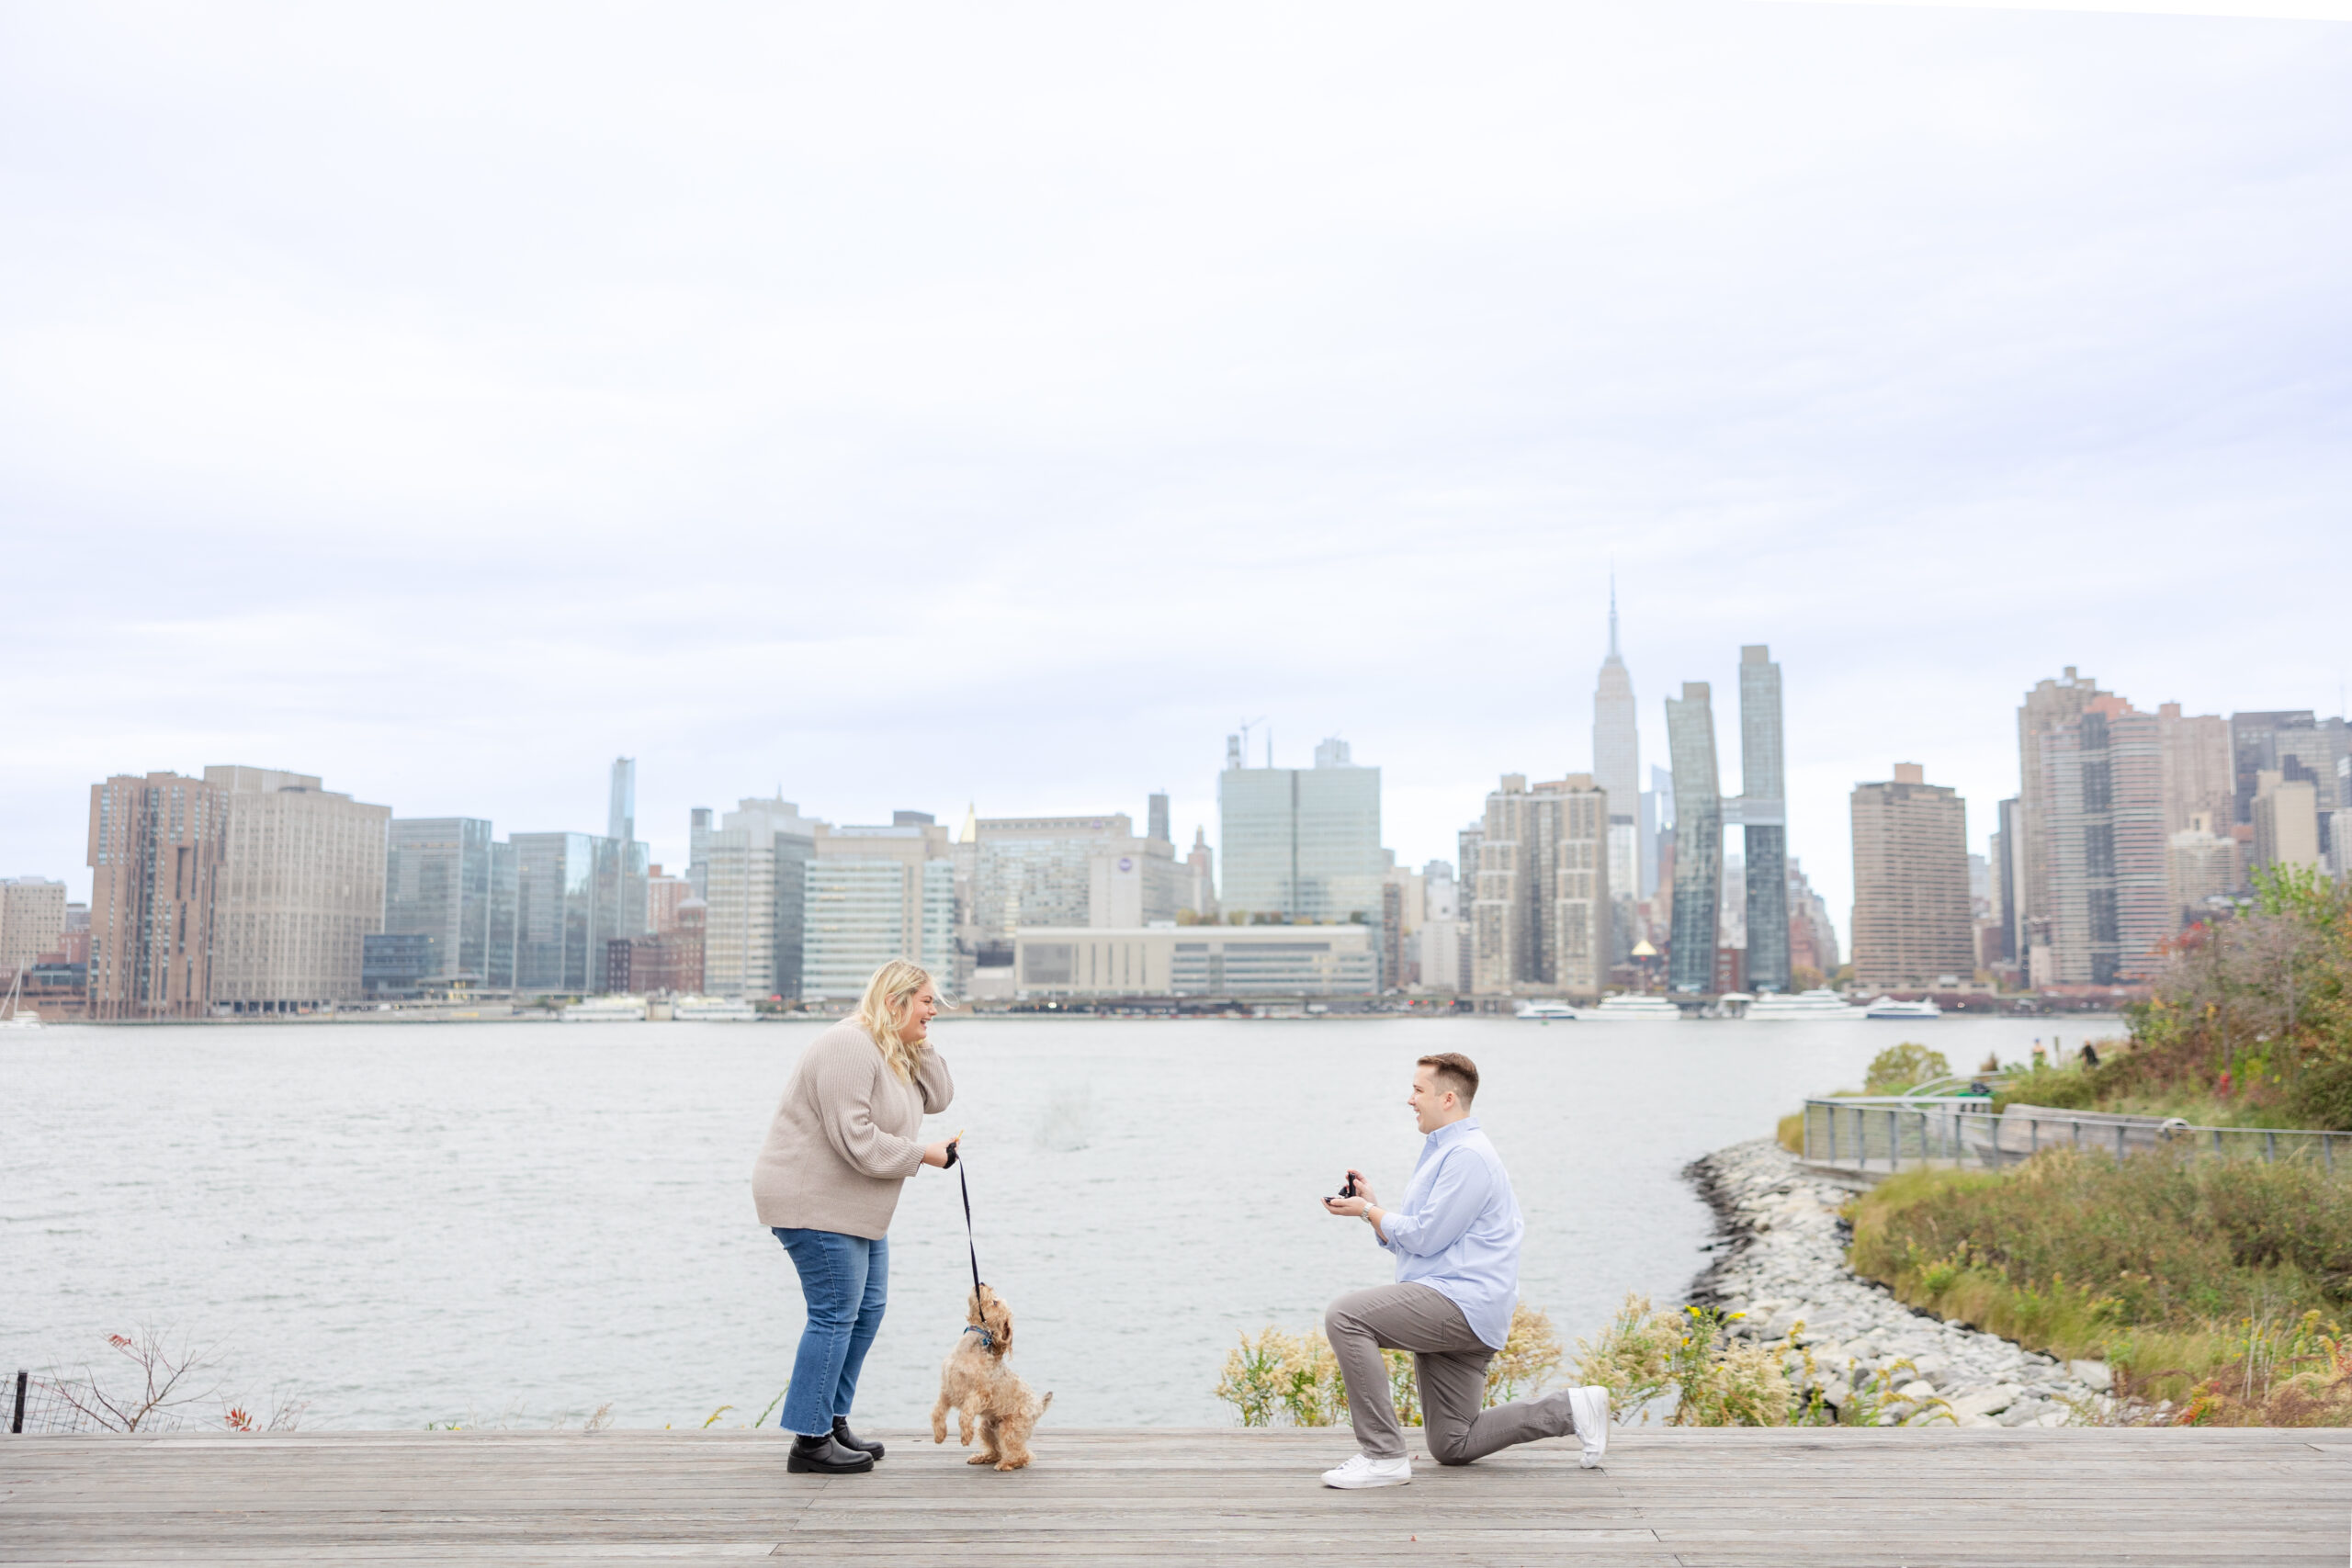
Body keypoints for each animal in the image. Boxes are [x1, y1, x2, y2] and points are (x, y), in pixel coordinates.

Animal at [931, 1288, 1053, 1476]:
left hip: (1009, 1429)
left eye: (995, 1302)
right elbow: (937, 1413)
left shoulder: (980, 1393)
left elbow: (965, 1413)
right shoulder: (947, 1390)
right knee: (996, 1451)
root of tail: (1039, 1406)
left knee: (1022, 1454)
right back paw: (981, 1457)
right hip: (987, 1428)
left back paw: (1007, 1464)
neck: (968, 1349)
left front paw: (966, 1435)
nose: (981, 1283)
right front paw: (939, 1435)